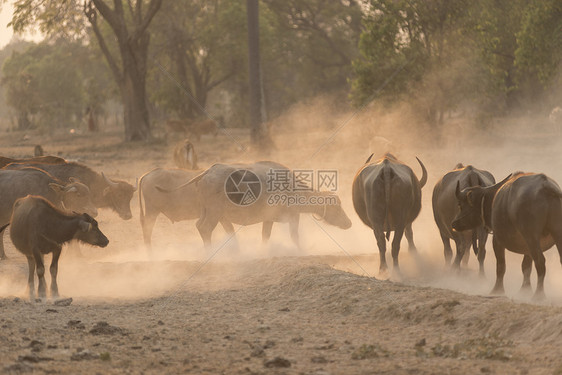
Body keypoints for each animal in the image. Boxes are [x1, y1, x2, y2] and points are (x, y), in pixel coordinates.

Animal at [158, 162, 350, 250]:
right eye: (337, 206)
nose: (349, 223)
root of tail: (207, 172)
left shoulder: (268, 219)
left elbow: (265, 236)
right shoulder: (293, 217)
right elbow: (294, 236)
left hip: (211, 212)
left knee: (201, 226)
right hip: (214, 212)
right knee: (205, 228)